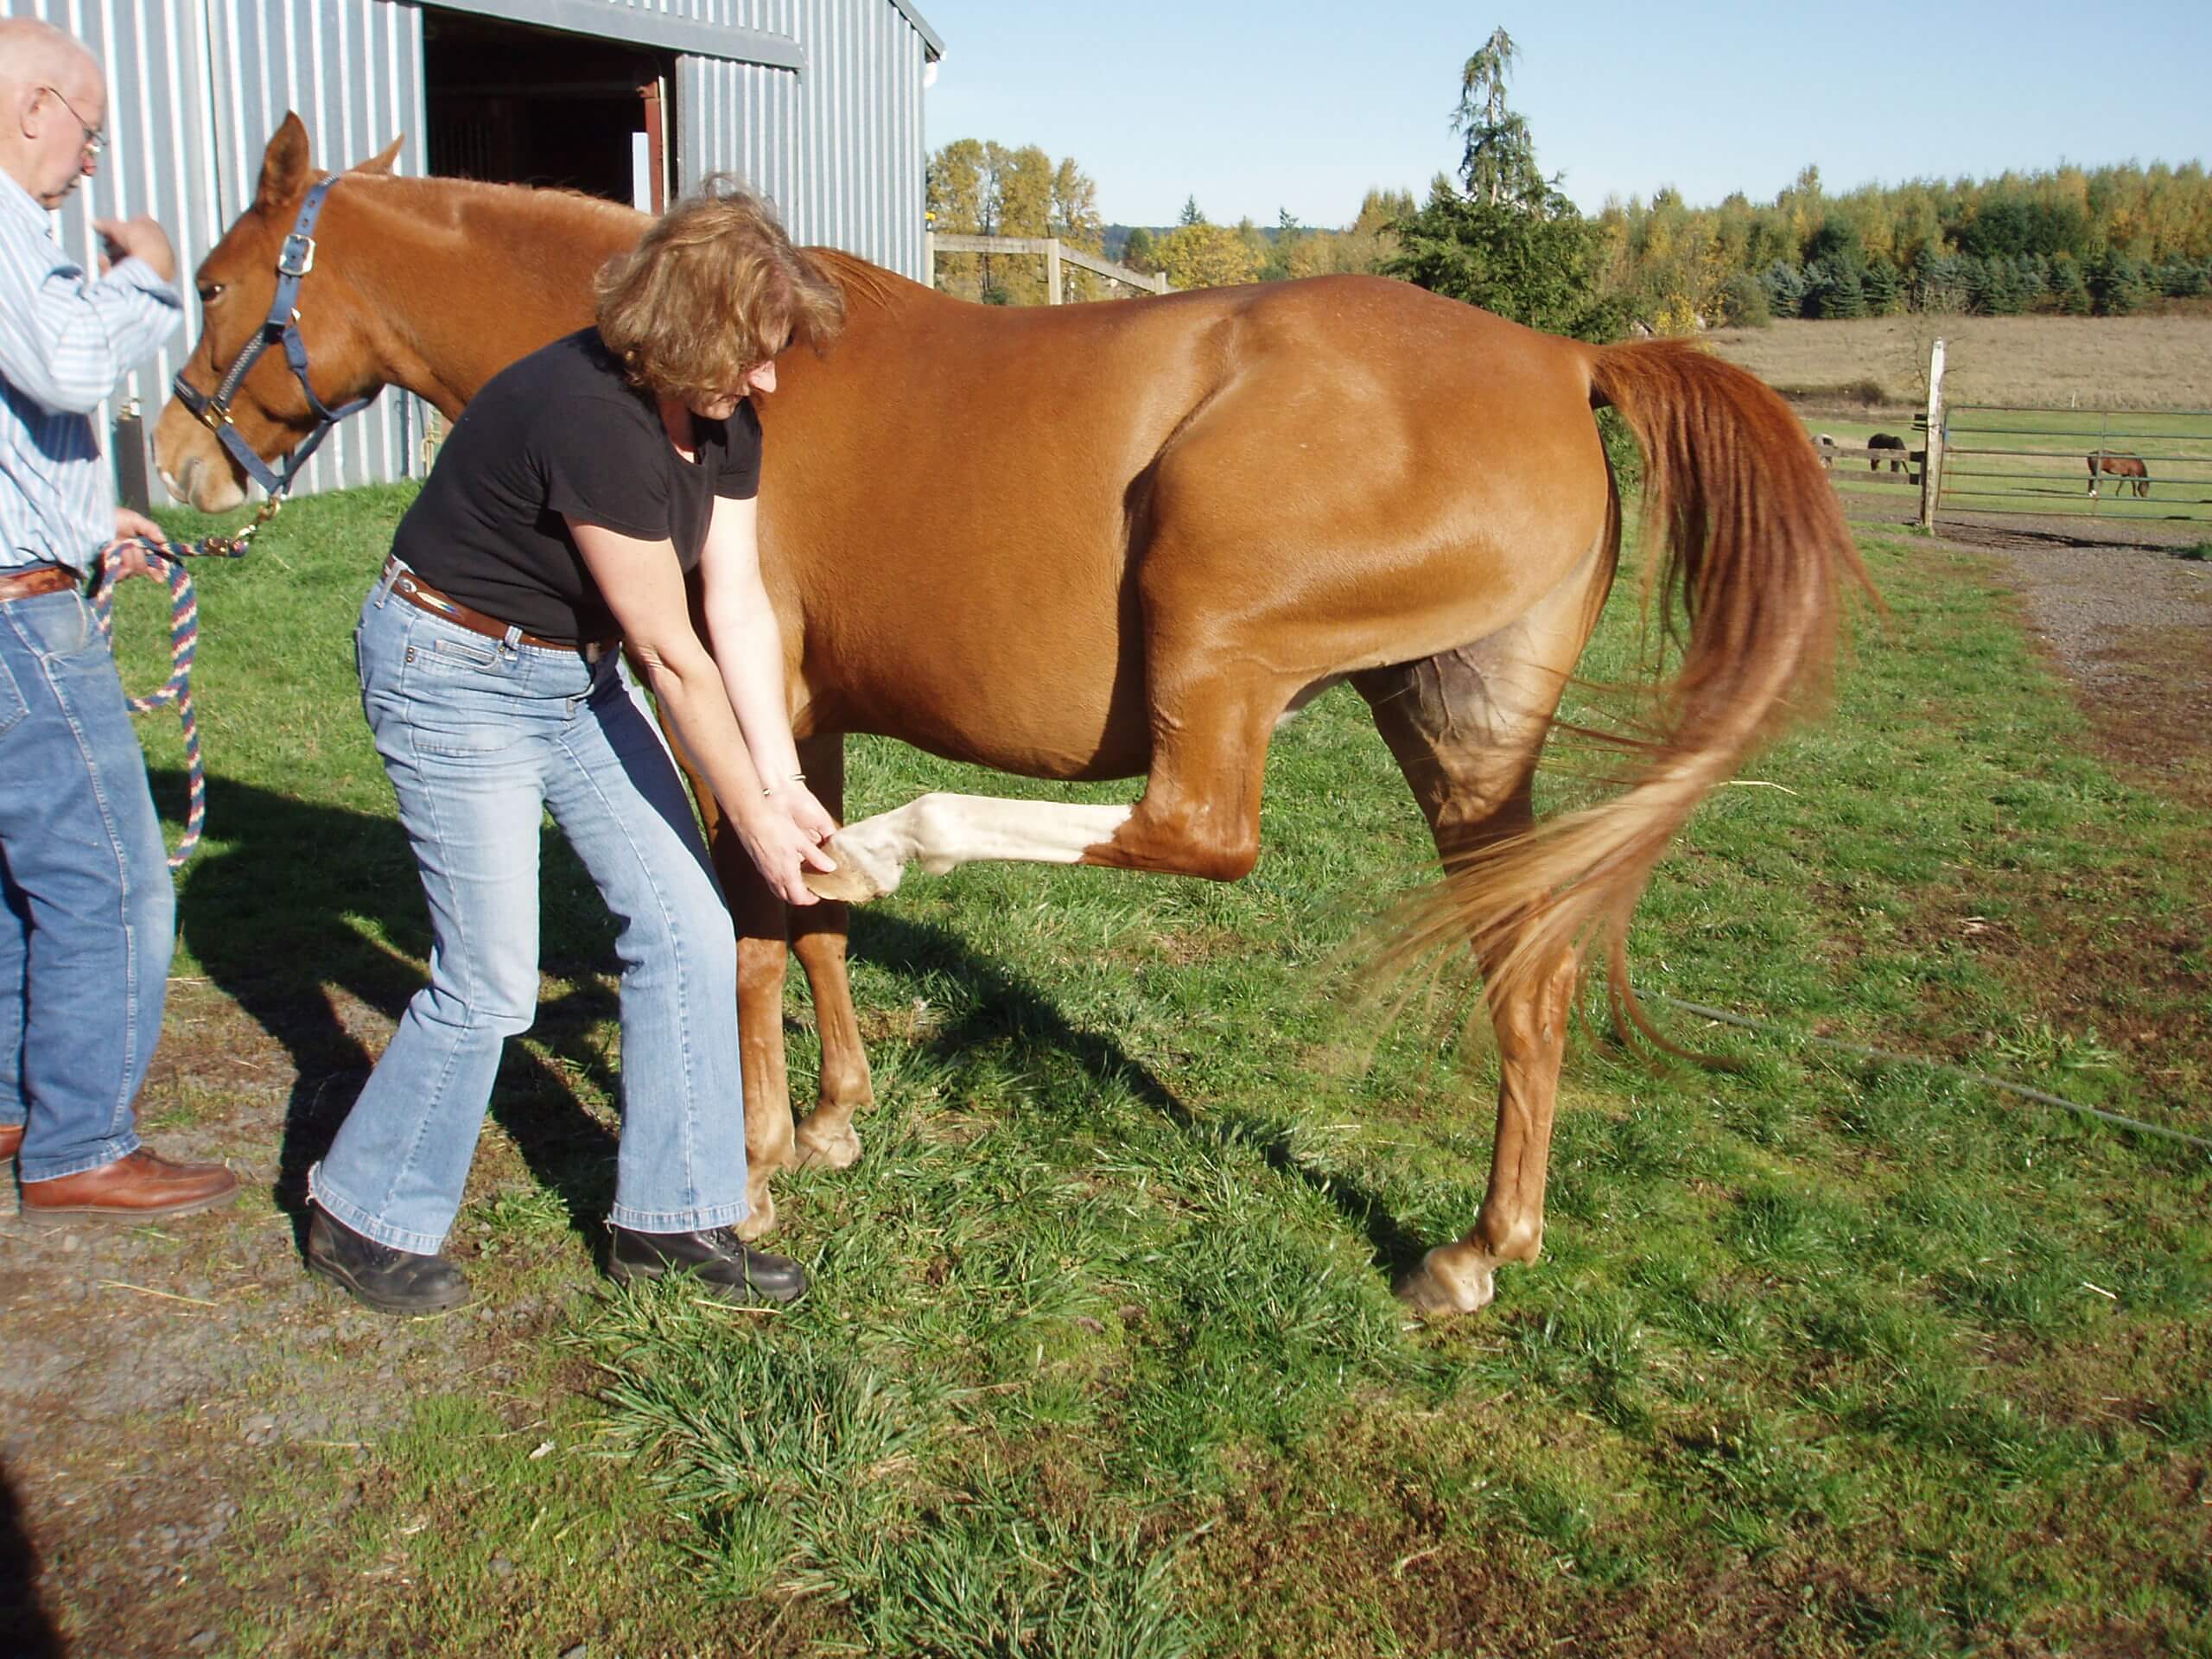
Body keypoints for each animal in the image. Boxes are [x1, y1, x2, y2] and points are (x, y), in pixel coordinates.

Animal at [151, 117, 1866, 1318]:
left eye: (216, 283)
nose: (176, 467)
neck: (689, 382)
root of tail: (1568, 357)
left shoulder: (739, 698)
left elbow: (758, 919)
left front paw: (754, 1170)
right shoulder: (804, 717)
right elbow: (802, 925)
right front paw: (836, 1120)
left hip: (1219, 652)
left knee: (1200, 835)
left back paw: (912, 844)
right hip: (1460, 741)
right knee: (1527, 969)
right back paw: (1477, 1251)